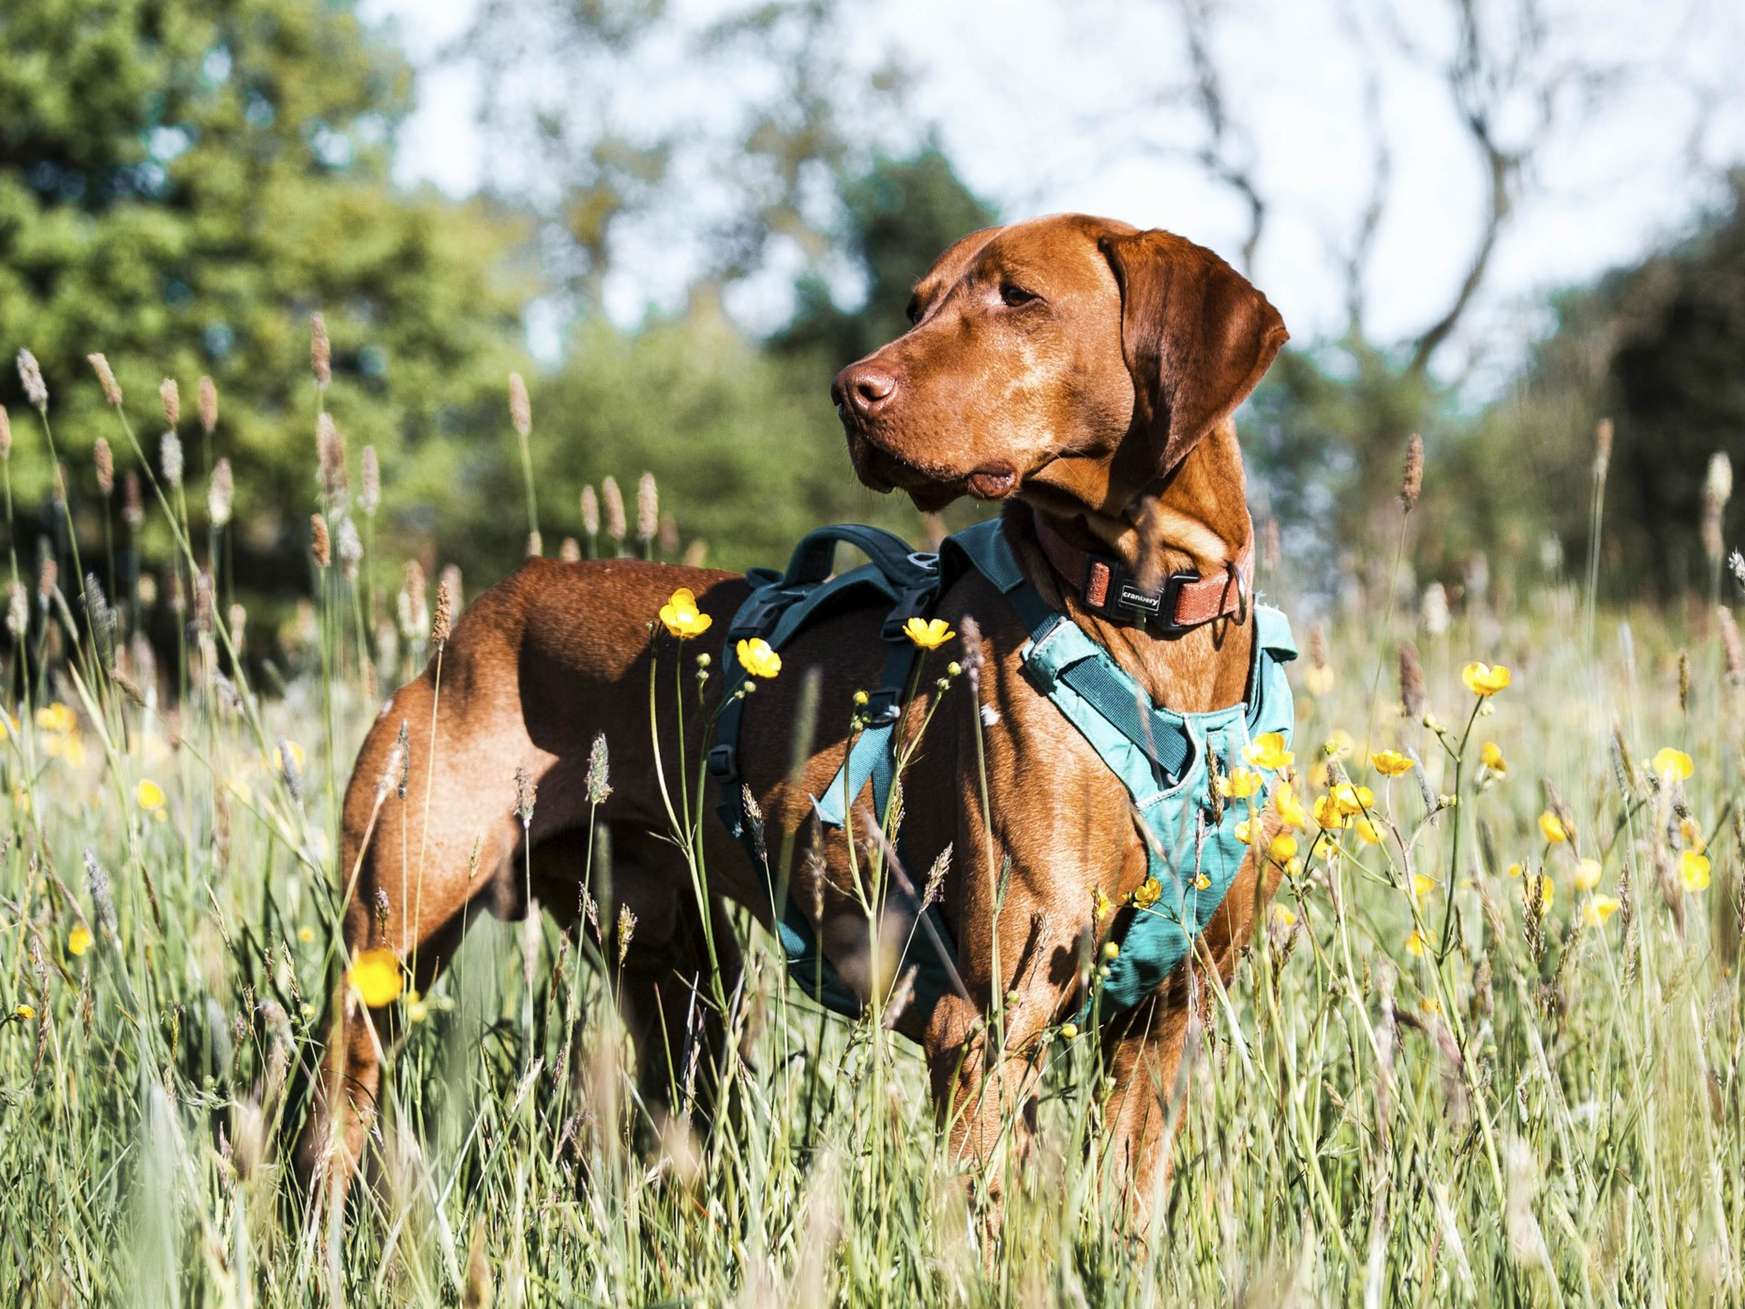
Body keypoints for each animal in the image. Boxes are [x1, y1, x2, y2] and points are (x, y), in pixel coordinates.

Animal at [296, 212, 1284, 1221]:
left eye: (1019, 297)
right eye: (916, 306)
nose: (851, 392)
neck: (1146, 614)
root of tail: (487, 609)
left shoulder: (1164, 1018)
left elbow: (1130, 1212)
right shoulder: (987, 1022)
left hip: (680, 971)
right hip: (388, 940)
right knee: (333, 1107)